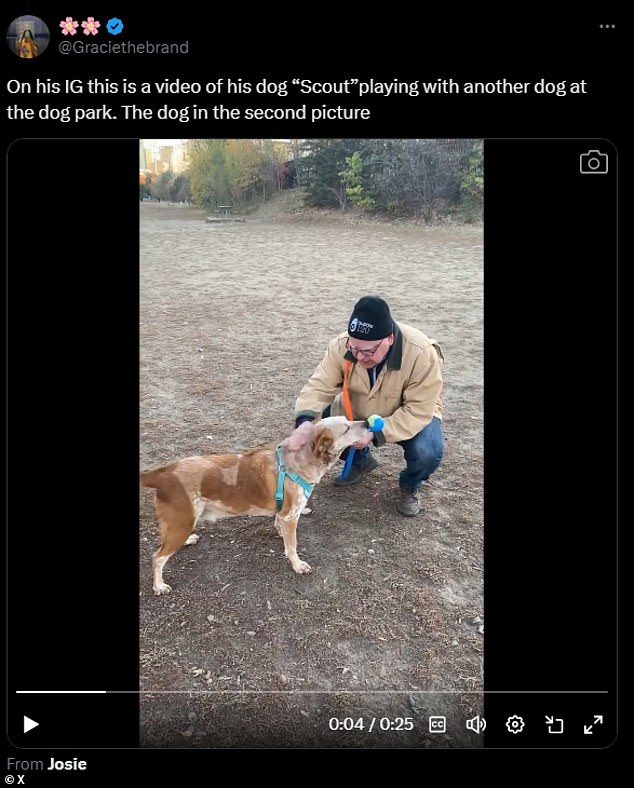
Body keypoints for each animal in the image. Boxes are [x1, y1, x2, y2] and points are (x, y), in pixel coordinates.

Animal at [138, 416, 370, 596]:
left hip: (180, 523)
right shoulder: (290, 516)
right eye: (346, 428)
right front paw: (297, 565)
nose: (367, 422)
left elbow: (280, 527)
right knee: (157, 557)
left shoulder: (283, 514)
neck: (300, 460)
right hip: (181, 522)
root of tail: (164, 473)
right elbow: (292, 546)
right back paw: (158, 586)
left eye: (349, 420)